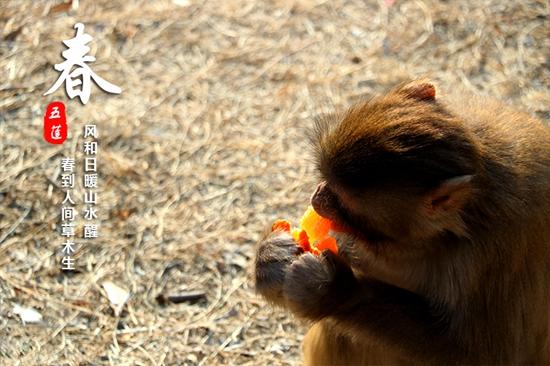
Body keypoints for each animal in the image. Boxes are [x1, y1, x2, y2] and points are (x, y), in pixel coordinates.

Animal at [254, 81, 550, 366]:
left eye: (343, 201)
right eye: (325, 180)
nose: (317, 197)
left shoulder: (494, 251)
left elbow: (488, 355)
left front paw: (333, 292)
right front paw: (272, 256)